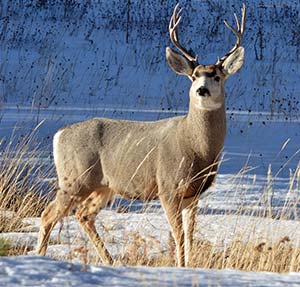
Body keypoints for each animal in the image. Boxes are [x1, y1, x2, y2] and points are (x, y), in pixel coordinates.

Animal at [36, 3, 245, 268]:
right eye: (194, 75)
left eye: (217, 76)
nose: (201, 90)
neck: (196, 148)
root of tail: (59, 135)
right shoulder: (167, 186)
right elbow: (178, 234)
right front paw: (180, 267)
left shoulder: (194, 193)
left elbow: (190, 235)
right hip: (74, 179)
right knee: (48, 214)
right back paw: (39, 257)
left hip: (104, 186)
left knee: (84, 215)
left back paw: (110, 261)